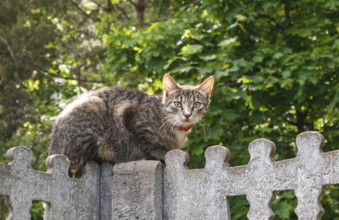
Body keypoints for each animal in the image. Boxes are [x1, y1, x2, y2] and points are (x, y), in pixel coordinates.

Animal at [48, 74, 212, 175]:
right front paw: (161, 153)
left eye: (196, 104)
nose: (187, 114)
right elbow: (151, 145)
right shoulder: (130, 115)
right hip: (94, 107)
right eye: (178, 104)